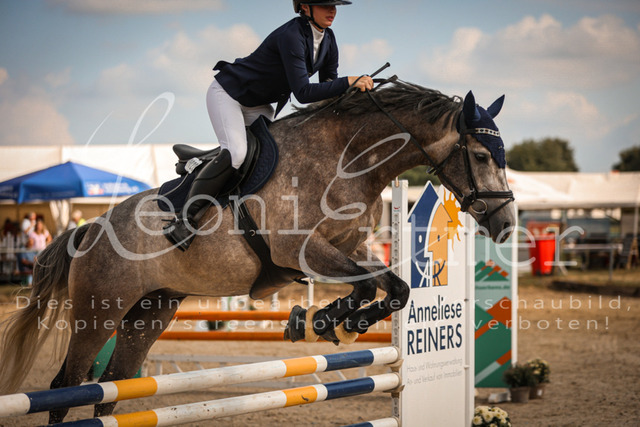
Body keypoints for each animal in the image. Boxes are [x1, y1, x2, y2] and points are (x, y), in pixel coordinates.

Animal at [0, 80, 515, 423]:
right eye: (482, 156)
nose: (506, 224)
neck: (349, 159)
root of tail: (88, 229)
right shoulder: (301, 250)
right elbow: (370, 284)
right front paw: (326, 320)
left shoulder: (350, 247)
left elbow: (396, 287)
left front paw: (334, 321)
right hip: (100, 309)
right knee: (67, 386)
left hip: (152, 309)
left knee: (113, 385)